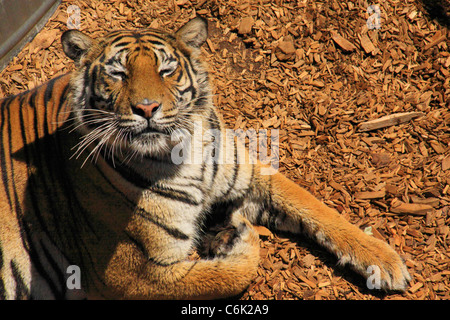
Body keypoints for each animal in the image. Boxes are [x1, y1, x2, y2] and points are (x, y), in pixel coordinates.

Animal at [0, 16, 412, 298]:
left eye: (166, 70)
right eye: (117, 74)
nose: (146, 108)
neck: (181, 154)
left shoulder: (249, 174)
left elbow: (315, 208)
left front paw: (385, 261)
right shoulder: (130, 274)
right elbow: (227, 275)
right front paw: (238, 241)